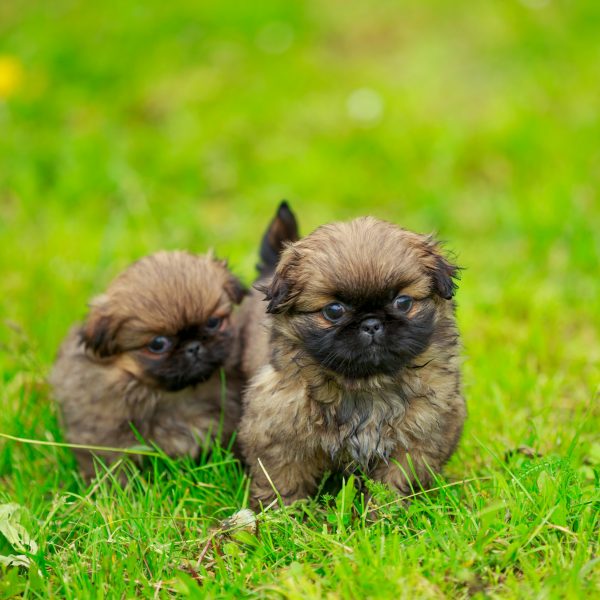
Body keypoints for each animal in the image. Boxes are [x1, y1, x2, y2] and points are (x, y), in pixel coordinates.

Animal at [49, 251, 246, 480]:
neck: (175, 394)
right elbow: (113, 466)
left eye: (213, 322)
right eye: (157, 344)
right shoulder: (104, 436)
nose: (194, 347)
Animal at [237, 216, 466, 506]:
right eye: (334, 310)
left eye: (403, 302)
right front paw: (284, 514)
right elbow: (283, 483)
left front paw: (385, 512)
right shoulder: (277, 434)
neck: (367, 384)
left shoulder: (420, 438)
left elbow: (395, 482)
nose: (371, 323)